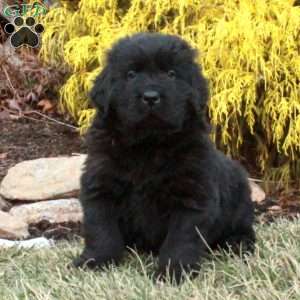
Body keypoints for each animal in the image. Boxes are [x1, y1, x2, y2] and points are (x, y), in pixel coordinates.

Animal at [73, 32, 255, 284]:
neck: (148, 145)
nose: (151, 97)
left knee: (244, 227)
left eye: (171, 74)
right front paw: (95, 261)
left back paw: (238, 243)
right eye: (131, 74)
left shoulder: (192, 196)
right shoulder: (100, 186)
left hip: (240, 198)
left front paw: (173, 272)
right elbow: (101, 229)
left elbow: (181, 238)